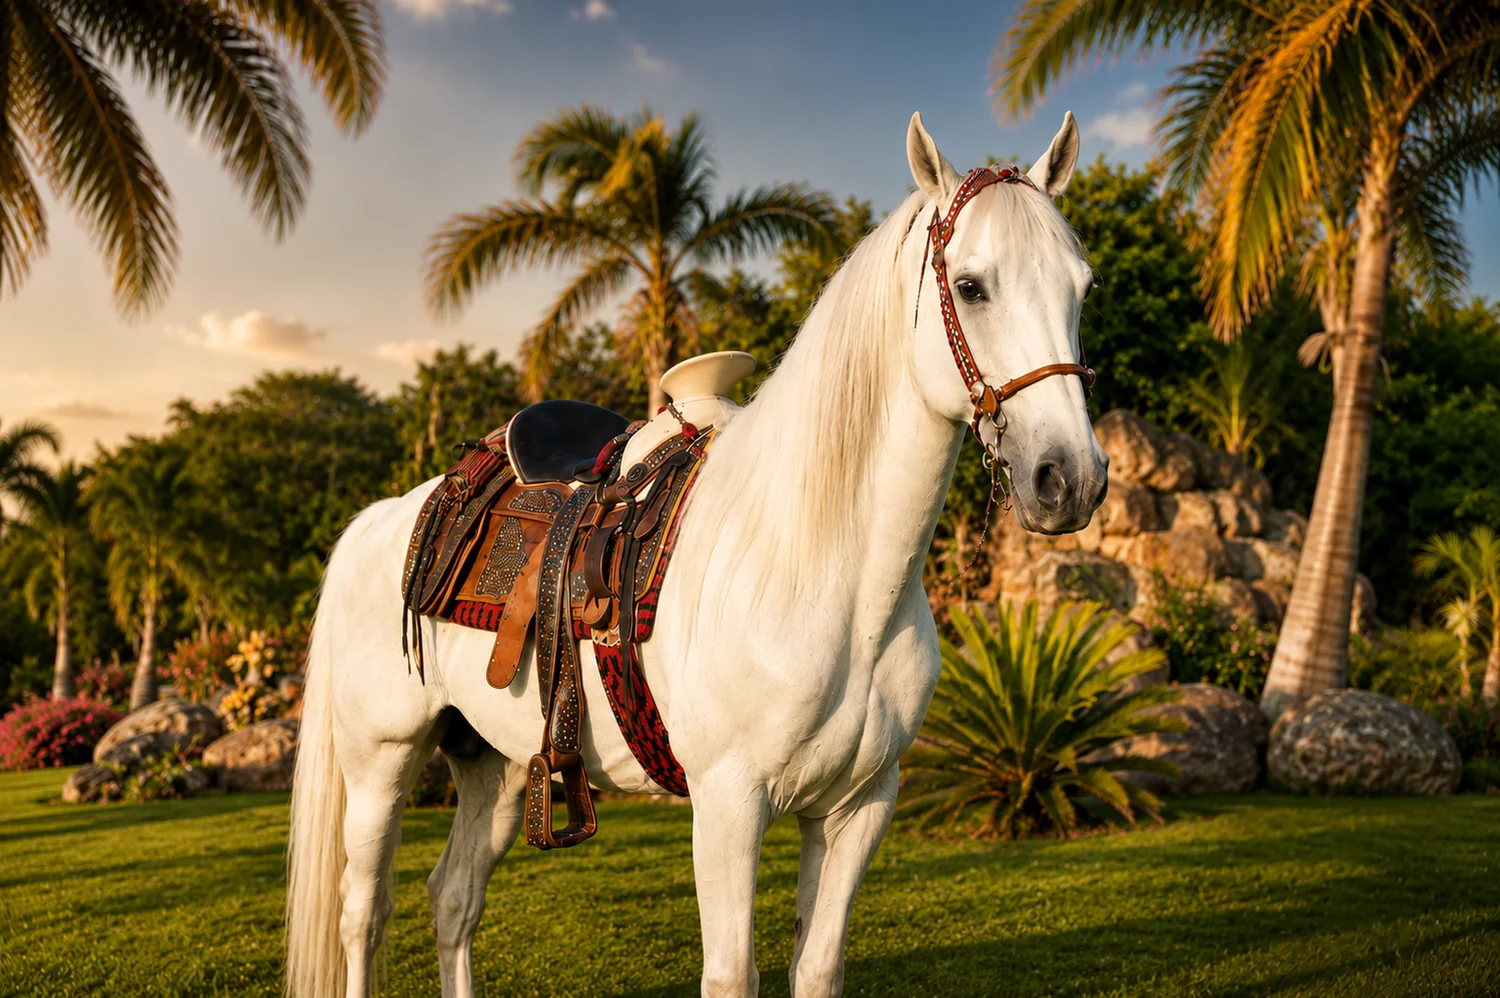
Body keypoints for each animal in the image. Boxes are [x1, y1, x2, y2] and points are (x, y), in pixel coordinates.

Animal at [285, 110, 1108, 998]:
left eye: (1082, 287)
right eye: (971, 286)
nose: (1071, 479)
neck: (820, 569)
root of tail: (386, 520)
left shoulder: (858, 807)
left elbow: (817, 968)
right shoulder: (729, 804)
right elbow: (732, 973)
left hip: (495, 764)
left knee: (453, 900)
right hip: (381, 762)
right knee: (363, 914)